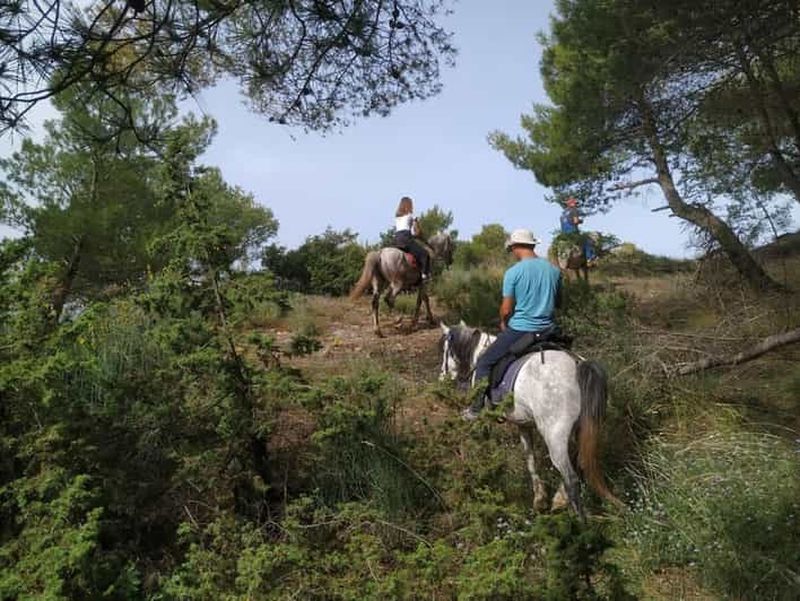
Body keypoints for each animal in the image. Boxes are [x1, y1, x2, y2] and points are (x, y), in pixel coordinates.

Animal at [438, 322, 623, 516]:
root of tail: (577, 364)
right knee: (579, 462)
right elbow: (530, 459)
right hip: (582, 429)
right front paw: (539, 498)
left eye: (445, 350)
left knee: (571, 479)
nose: (441, 377)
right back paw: (560, 498)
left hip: (555, 436)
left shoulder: (487, 418)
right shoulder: (523, 424)